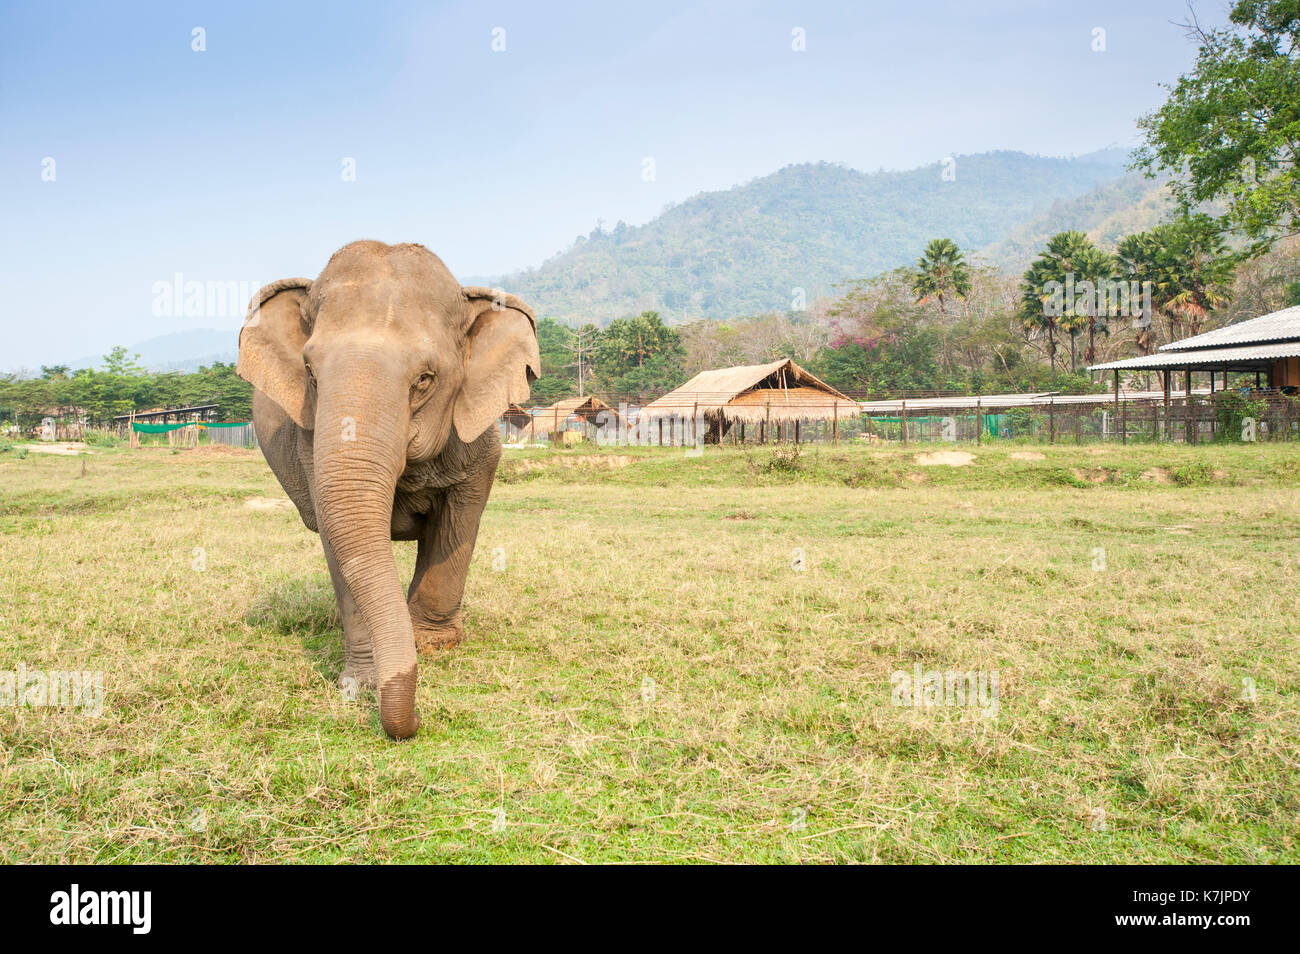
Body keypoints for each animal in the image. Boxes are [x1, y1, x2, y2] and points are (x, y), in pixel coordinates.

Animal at [237, 239, 538, 738]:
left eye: (425, 380)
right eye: (310, 373)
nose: (416, 720)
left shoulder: (477, 438)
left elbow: (457, 526)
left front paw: (433, 646)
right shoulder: (310, 444)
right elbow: (340, 540)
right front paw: (361, 682)